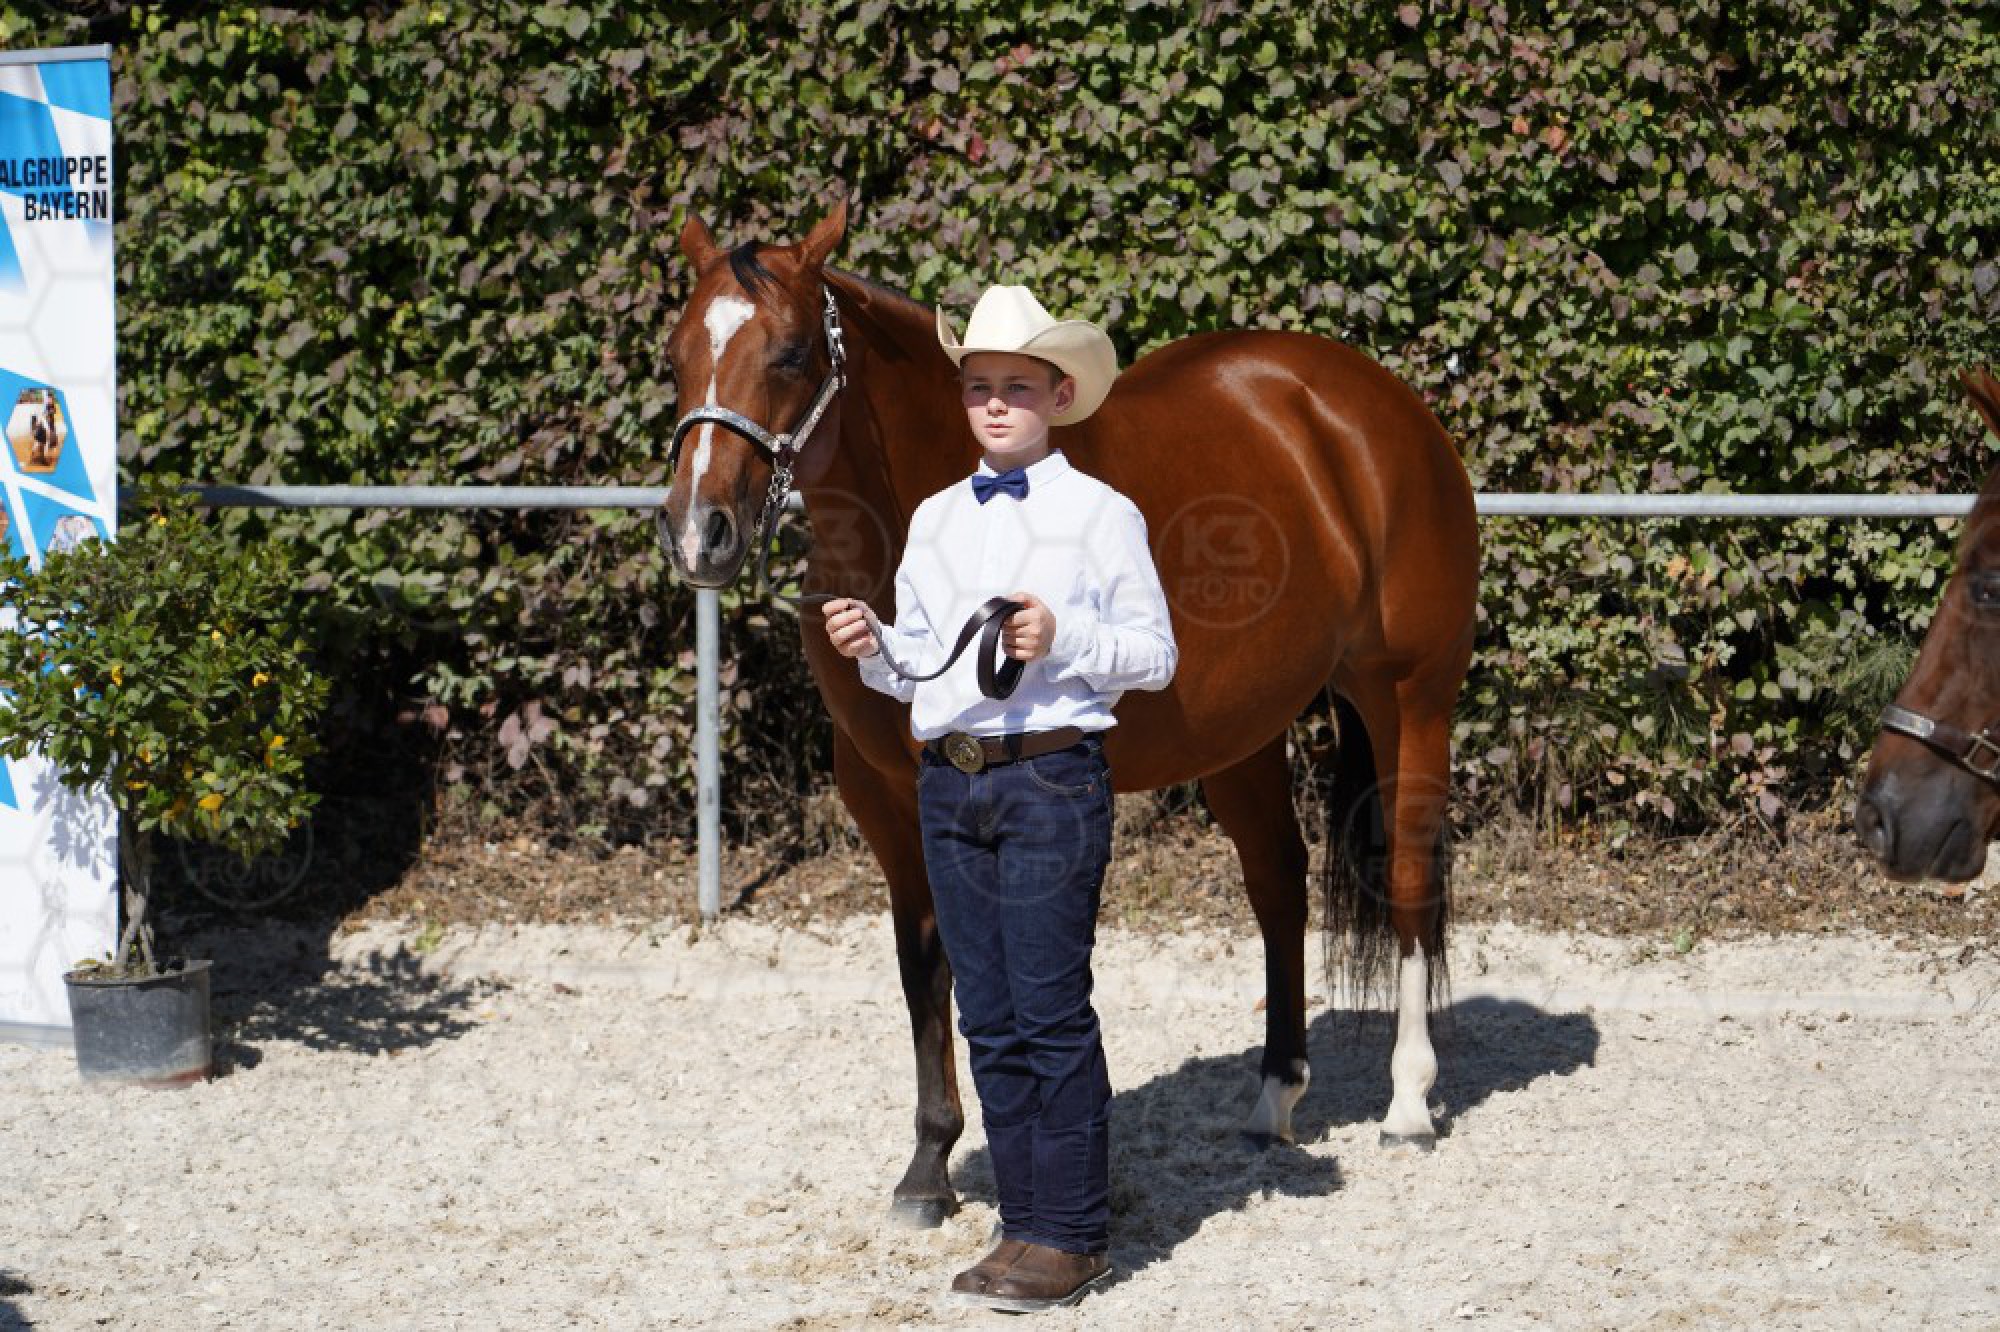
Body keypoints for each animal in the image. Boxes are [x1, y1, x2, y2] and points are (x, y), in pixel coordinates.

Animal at [657, 203, 1480, 1226]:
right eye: (676, 356)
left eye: (794, 353)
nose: (699, 533)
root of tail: (1375, 406)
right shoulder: (882, 793)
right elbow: (924, 966)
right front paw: (927, 1169)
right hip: (1242, 737)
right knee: (1279, 885)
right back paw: (1274, 1098)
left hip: (1410, 695)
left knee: (1407, 875)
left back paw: (1409, 1101)